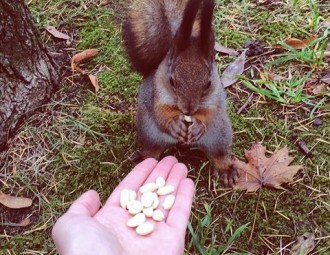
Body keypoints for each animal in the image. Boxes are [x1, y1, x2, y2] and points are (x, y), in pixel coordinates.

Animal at [123, 0, 237, 185]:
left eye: (208, 83)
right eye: (171, 81)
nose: (188, 110)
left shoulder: (214, 97)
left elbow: (210, 112)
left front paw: (198, 125)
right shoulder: (157, 93)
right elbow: (160, 112)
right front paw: (174, 124)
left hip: (220, 133)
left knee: (219, 154)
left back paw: (226, 169)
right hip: (149, 131)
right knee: (152, 150)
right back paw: (144, 158)